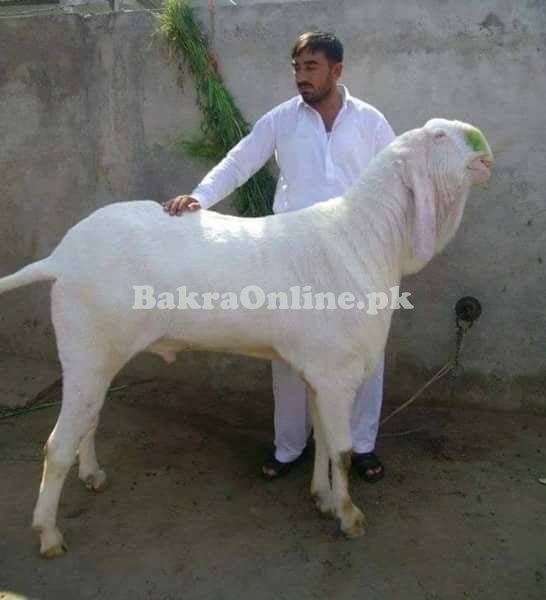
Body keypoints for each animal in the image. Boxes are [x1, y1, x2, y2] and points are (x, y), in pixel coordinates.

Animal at [0, 118, 490, 556]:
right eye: (439, 135)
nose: (484, 153)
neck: (365, 238)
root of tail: (60, 258)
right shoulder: (338, 372)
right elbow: (344, 450)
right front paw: (350, 517)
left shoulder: (317, 370)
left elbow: (324, 440)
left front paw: (323, 498)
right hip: (86, 348)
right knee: (57, 444)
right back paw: (48, 534)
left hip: (98, 353)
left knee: (89, 418)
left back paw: (92, 475)